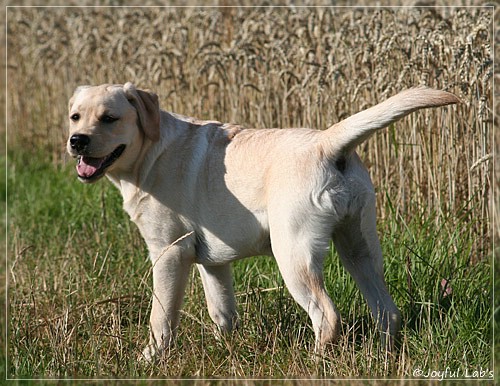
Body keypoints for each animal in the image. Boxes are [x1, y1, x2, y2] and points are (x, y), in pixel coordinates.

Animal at [68, 83, 458, 360]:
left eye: (109, 118)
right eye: (75, 116)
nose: (77, 141)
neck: (150, 151)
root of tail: (326, 143)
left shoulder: (168, 252)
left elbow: (160, 318)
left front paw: (149, 359)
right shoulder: (212, 262)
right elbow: (221, 310)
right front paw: (223, 350)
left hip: (293, 255)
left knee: (327, 316)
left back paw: (315, 363)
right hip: (360, 249)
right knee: (387, 312)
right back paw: (382, 358)